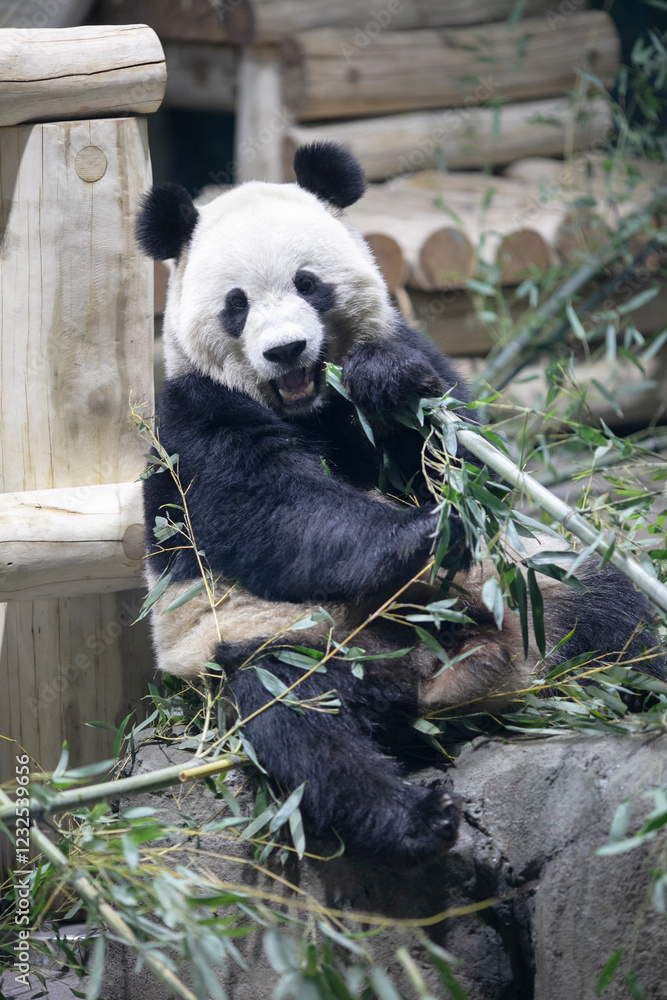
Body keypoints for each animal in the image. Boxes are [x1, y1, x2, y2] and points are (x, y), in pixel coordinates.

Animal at [136, 142, 665, 868]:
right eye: (235, 305)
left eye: (309, 283)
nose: (285, 350)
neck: (309, 405)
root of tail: (447, 674)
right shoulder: (193, 418)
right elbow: (267, 508)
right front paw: (429, 533)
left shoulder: (412, 354)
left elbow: (465, 453)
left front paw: (385, 386)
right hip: (297, 638)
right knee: (302, 721)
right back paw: (414, 817)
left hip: (534, 589)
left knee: (613, 611)